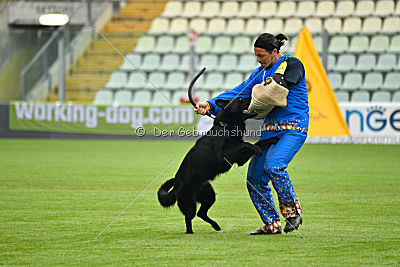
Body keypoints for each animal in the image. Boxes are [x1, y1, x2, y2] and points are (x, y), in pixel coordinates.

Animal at [156, 98, 278, 234]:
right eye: (240, 99)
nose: (252, 96)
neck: (226, 126)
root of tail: (176, 186)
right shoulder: (224, 157)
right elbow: (246, 144)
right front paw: (257, 148)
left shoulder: (240, 159)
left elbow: (256, 142)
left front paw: (272, 139)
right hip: (189, 203)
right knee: (189, 217)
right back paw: (190, 231)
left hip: (209, 196)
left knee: (201, 213)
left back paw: (215, 225)